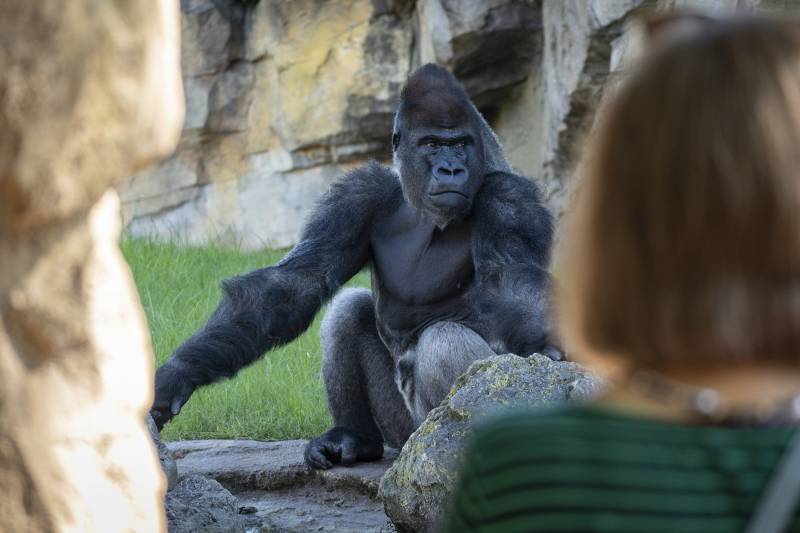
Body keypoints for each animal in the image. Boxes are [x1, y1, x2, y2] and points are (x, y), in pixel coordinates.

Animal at [150, 64, 556, 468]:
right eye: (432, 144)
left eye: (460, 144)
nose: (451, 169)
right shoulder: (361, 193)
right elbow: (296, 284)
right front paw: (179, 372)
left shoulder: (510, 197)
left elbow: (509, 281)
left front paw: (548, 347)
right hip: (401, 430)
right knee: (348, 309)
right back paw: (354, 438)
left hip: (433, 423)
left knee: (445, 342)